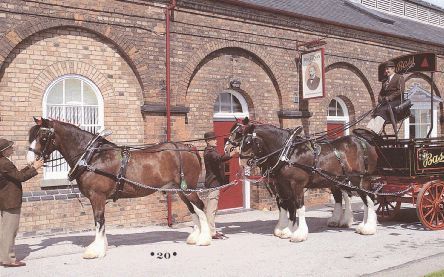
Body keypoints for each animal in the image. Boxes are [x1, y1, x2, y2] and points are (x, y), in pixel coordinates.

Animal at [27, 117, 212, 258]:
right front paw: (101, 246)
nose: (30, 161)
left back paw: (204, 239)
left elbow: (99, 220)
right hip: (179, 190)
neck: (92, 157)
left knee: (200, 207)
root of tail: (188, 147)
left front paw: (96, 250)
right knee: (193, 209)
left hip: (188, 189)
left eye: (43, 136)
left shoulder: (97, 196)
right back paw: (195, 237)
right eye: (31, 134)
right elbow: (99, 221)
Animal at [225, 119, 378, 242]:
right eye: (240, 137)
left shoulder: (296, 185)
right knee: (352, 199)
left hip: (360, 180)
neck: (287, 153)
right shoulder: (281, 185)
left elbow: (299, 207)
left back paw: (367, 227)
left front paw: (298, 233)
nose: (241, 161)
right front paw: (286, 230)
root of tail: (363, 142)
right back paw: (354, 223)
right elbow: (286, 206)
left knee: (367, 200)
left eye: (246, 140)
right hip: (340, 180)